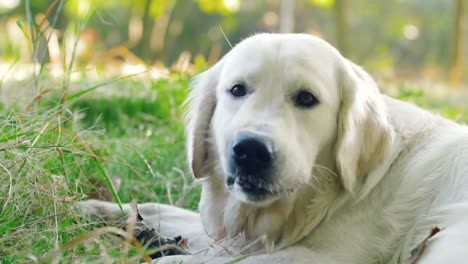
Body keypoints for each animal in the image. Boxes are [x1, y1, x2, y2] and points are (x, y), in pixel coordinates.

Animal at [80, 33, 468, 264]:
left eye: (307, 98)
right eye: (237, 90)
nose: (250, 151)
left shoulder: (329, 256)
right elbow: (160, 208)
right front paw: (100, 211)